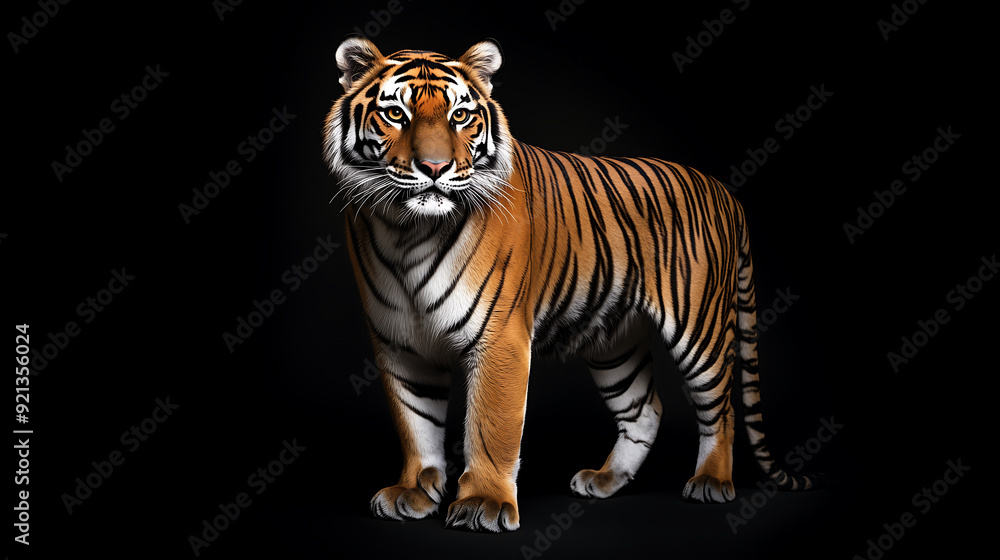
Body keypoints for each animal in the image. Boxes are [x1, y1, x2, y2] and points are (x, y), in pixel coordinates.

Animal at [322, 37, 821, 533]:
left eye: (460, 116)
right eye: (395, 114)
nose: (434, 166)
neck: (407, 230)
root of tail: (724, 192)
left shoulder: (500, 337)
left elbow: (490, 426)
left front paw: (484, 503)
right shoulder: (400, 343)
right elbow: (417, 423)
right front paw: (412, 491)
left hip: (699, 327)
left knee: (722, 408)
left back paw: (712, 481)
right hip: (615, 342)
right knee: (645, 410)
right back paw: (605, 479)